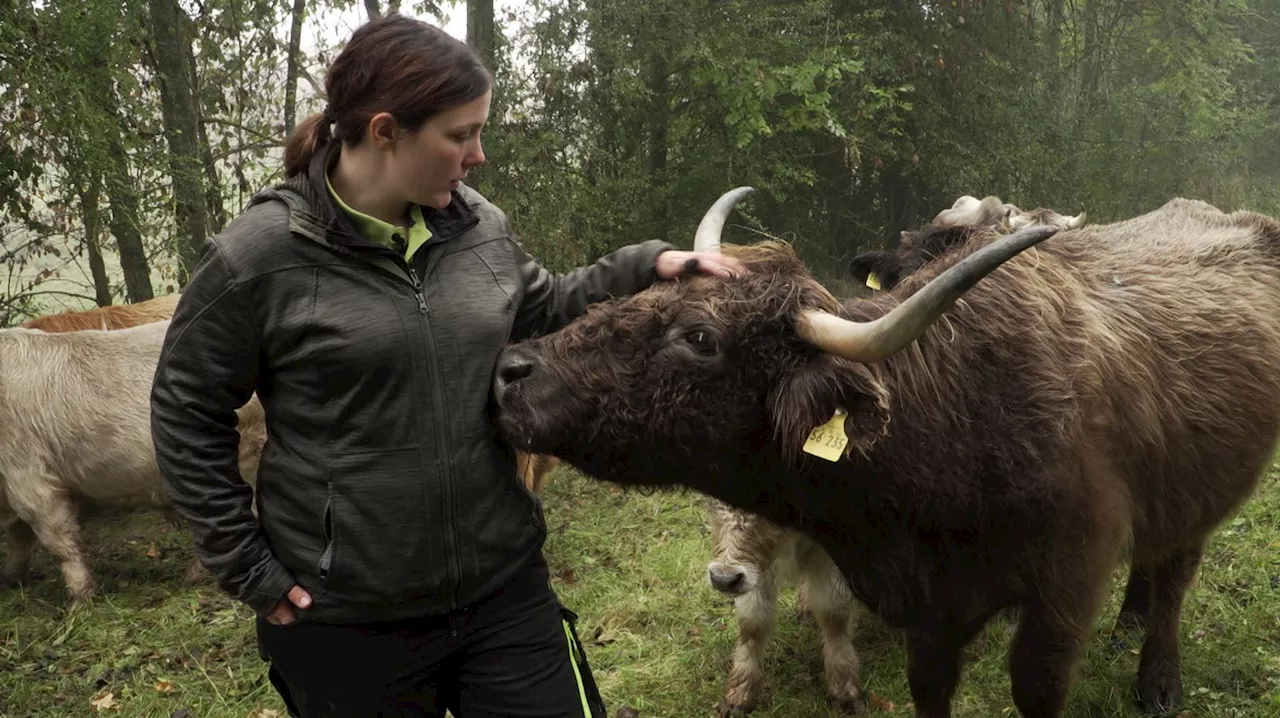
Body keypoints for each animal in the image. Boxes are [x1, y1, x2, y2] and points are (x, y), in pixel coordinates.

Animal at [494, 190, 1280, 716]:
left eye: (700, 338)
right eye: (646, 294)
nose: (511, 371)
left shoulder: (1062, 594)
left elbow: (1036, 687)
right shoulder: (927, 613)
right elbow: (927, 688)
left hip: (1204, 492)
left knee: (1176, 572)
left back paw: (1158, 679)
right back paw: (1129, 627)